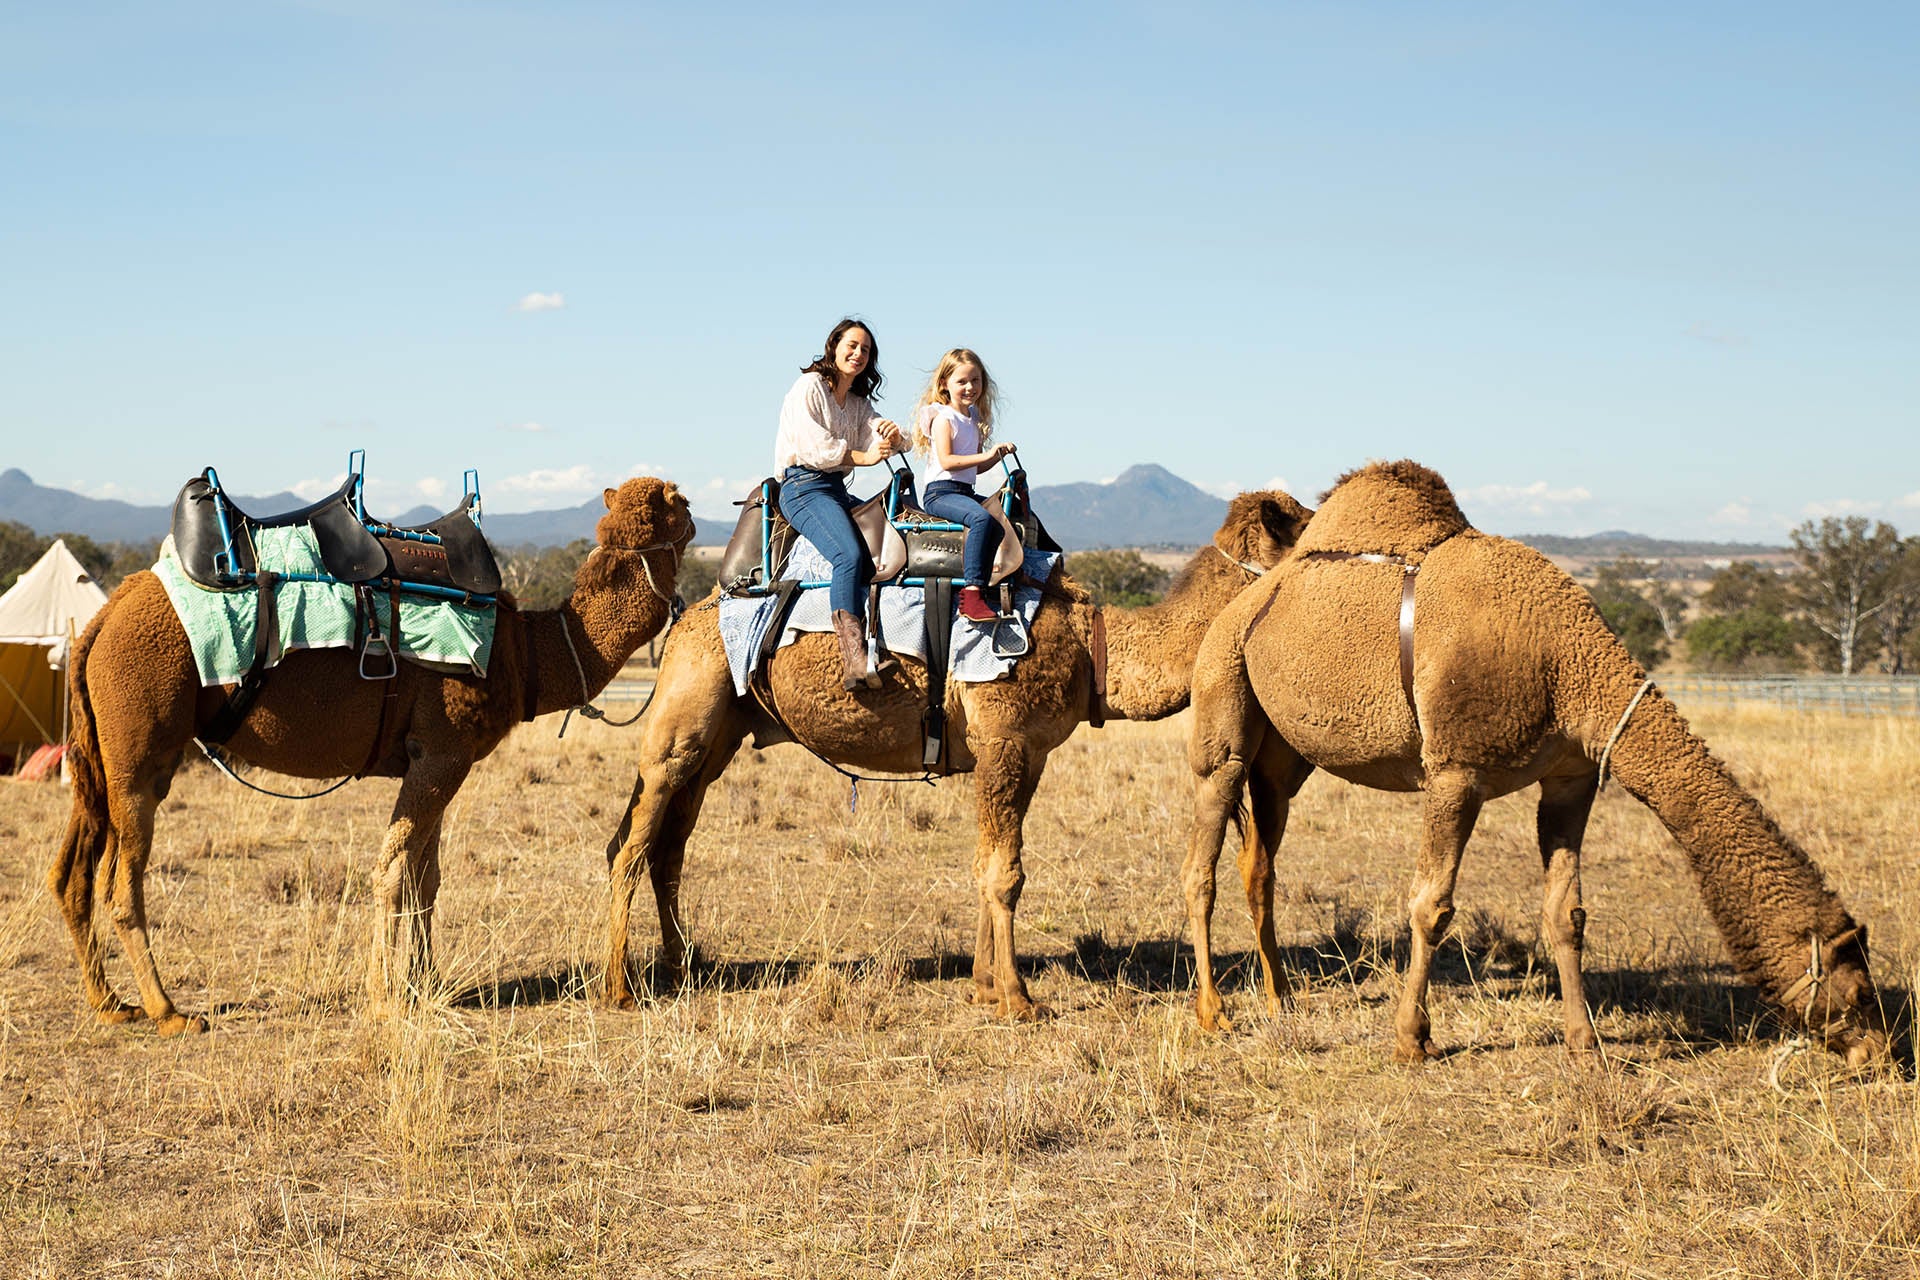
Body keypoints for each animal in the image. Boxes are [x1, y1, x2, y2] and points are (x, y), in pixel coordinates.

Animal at [46, 475, 698, 1036]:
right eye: (684, 502)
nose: (697, 517)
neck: (525, 654)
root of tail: (102, 619)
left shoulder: (437, 758)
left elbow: (426, 877)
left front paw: (426, 983)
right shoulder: (443, 751)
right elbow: (393, 872)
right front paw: (387, 998)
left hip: (103, 760)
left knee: (71, 873)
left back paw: (110, 1003)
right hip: (139, 748)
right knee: (120, 886)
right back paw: (168, 1011)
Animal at [606, 495, 1313, 1020]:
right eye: (1302, 524)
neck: (1094, 645)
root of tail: (685, 618)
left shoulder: (1025, 753)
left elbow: (986, 864)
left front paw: (983, 985)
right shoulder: (1005, 737)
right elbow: (1006, 873)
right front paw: (1019, 1000)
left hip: (721, 738)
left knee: (670, 846)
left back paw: (683, 968)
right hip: (683, 719)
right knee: (631, 843)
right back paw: (619, 988)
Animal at [1182, 466, 1889, 1066]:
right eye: (1858, 988)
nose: (1879, 1052)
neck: (1564, 662)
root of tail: (1247, 599)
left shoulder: (1571, 778)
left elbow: (1566, 913)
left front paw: (1585, 1042)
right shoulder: (1455, 772)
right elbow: (1432, 905)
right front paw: (1413, 1040)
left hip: (1283, 760)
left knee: (1259, 864)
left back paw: (1280, 1000)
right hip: (1222, 704)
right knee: (1202, 858)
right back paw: (1214, 1013)